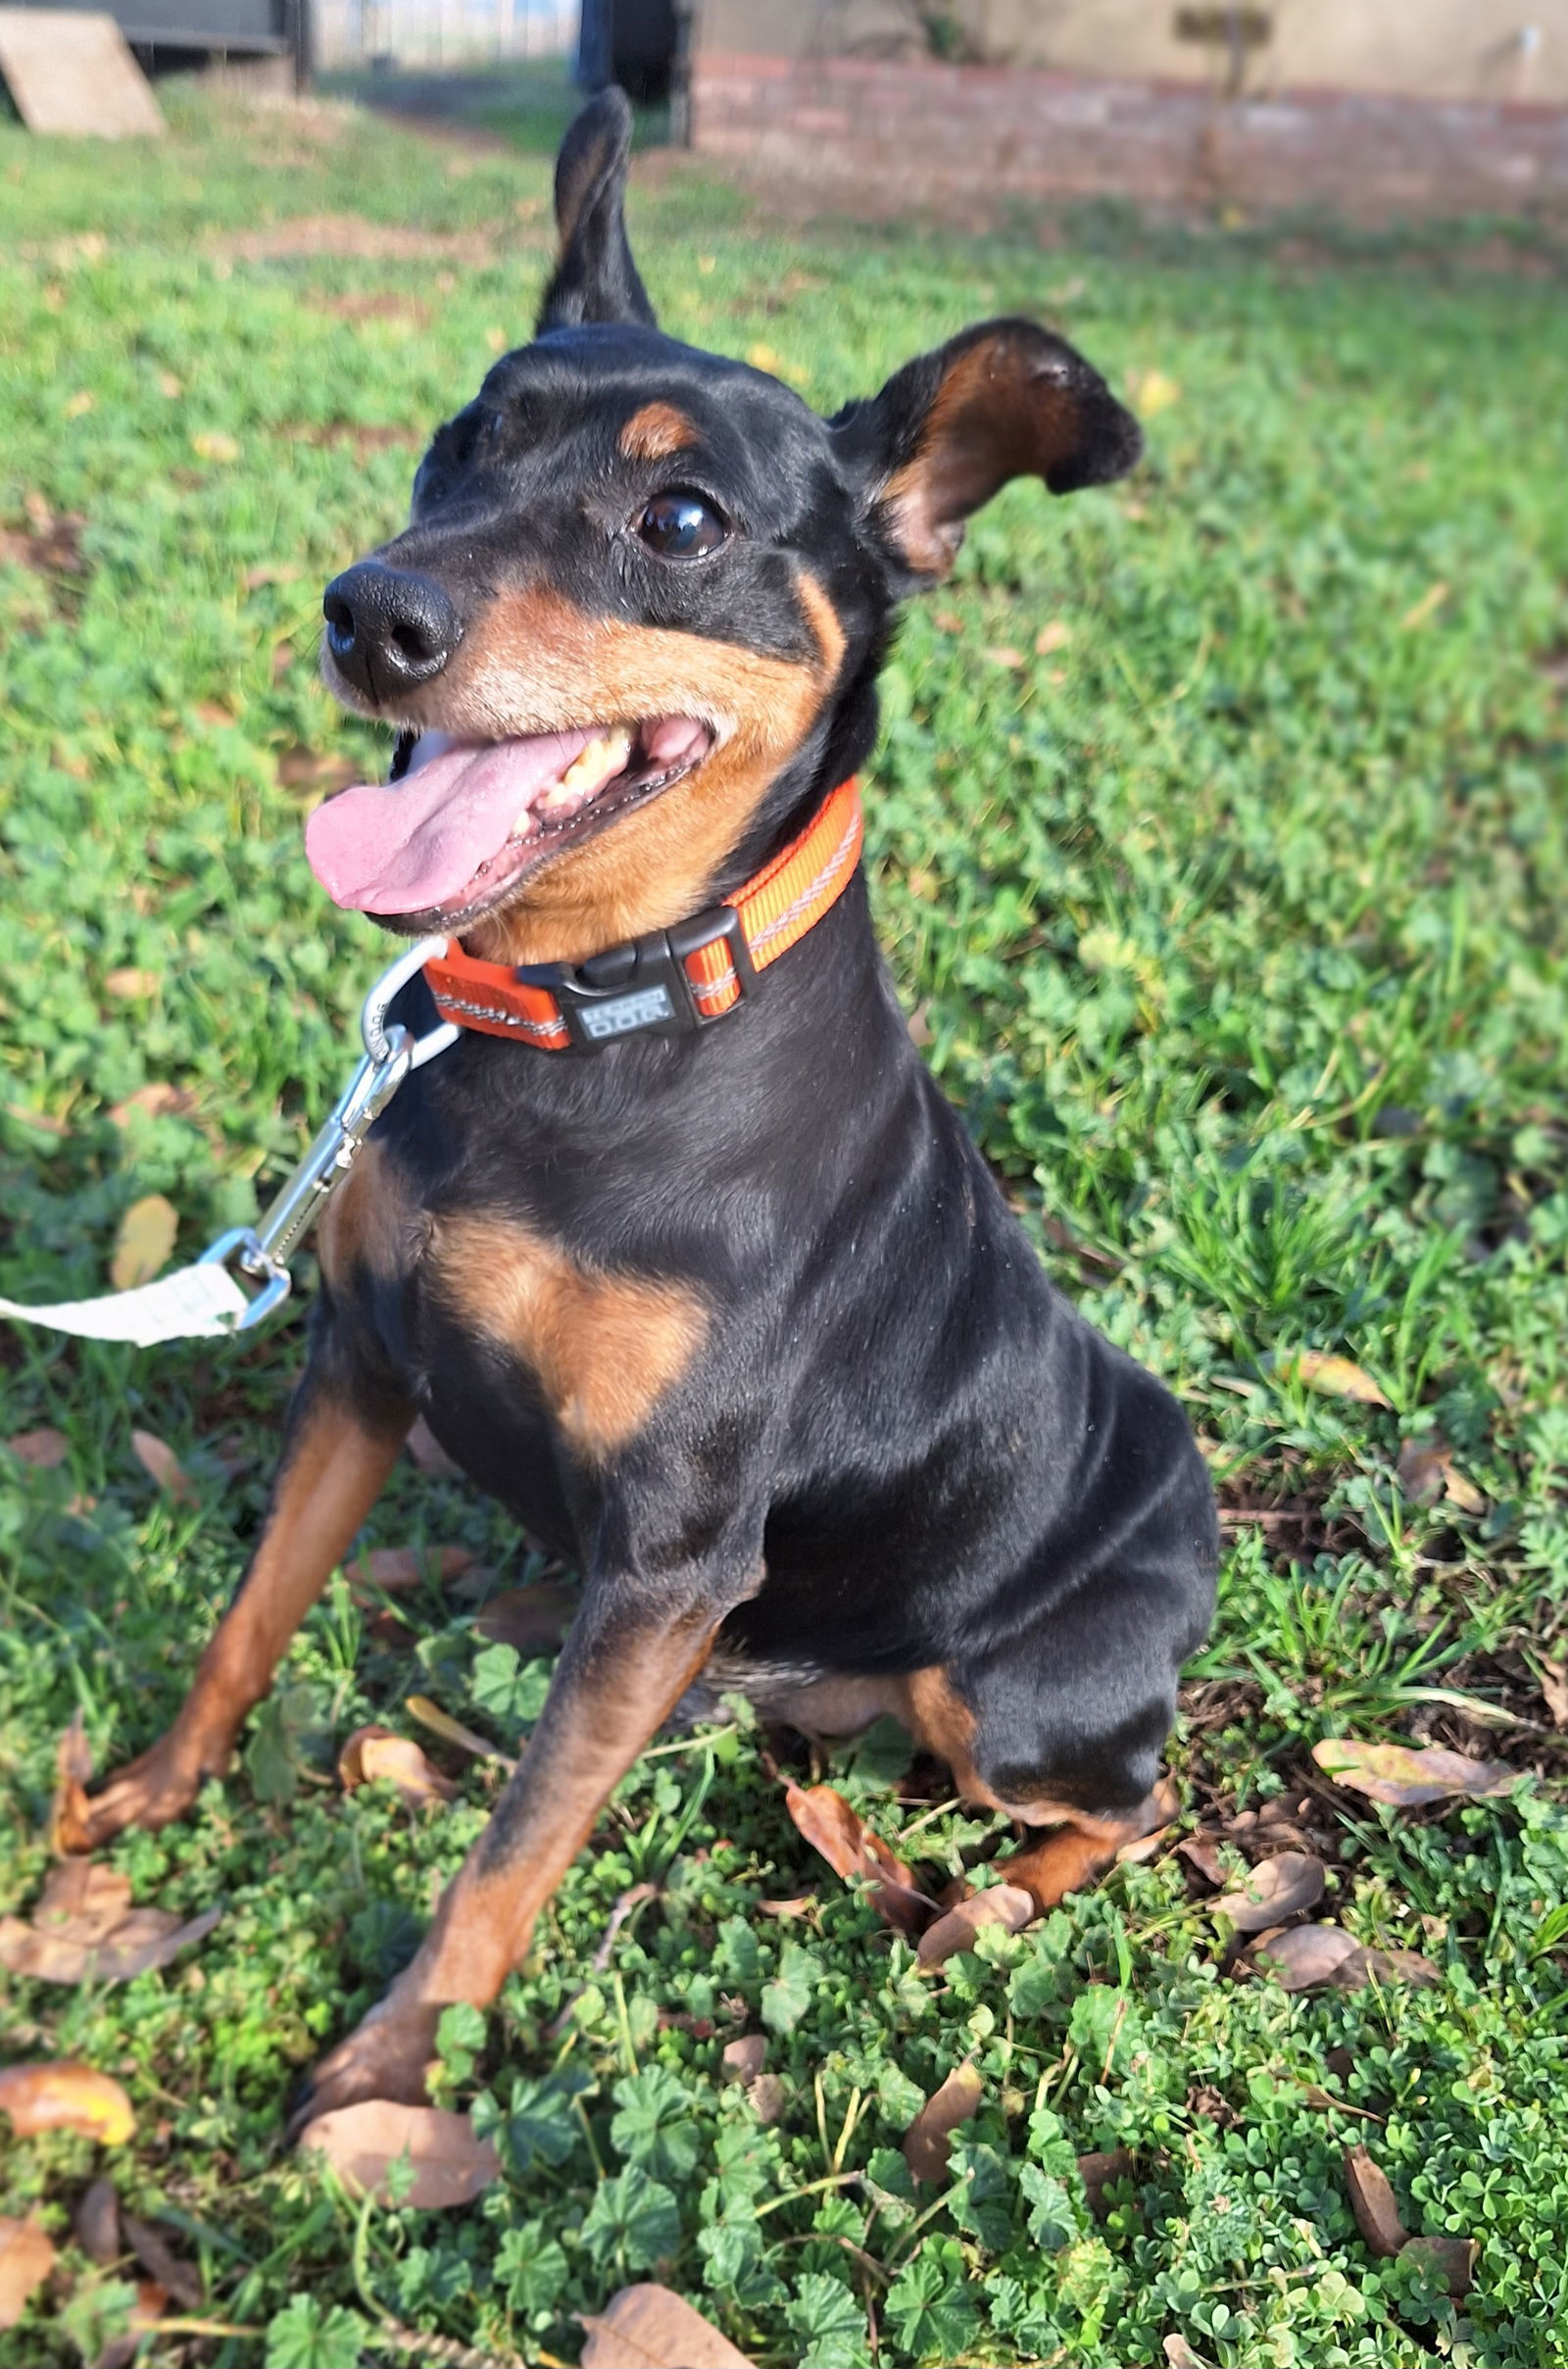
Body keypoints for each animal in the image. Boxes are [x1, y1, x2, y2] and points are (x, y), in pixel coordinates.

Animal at [79, 97, 1222, 2132]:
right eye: (463, 439)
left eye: (679, 519)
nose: (369, 613)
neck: (582, 1025)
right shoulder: (362, 1364)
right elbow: (247, 1618)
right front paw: (150, 1789)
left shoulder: (676, 1542)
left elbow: (517, 1838)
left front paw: (397, 2061)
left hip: (1003, 1699)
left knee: (1126, 1803)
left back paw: (985, 1904)